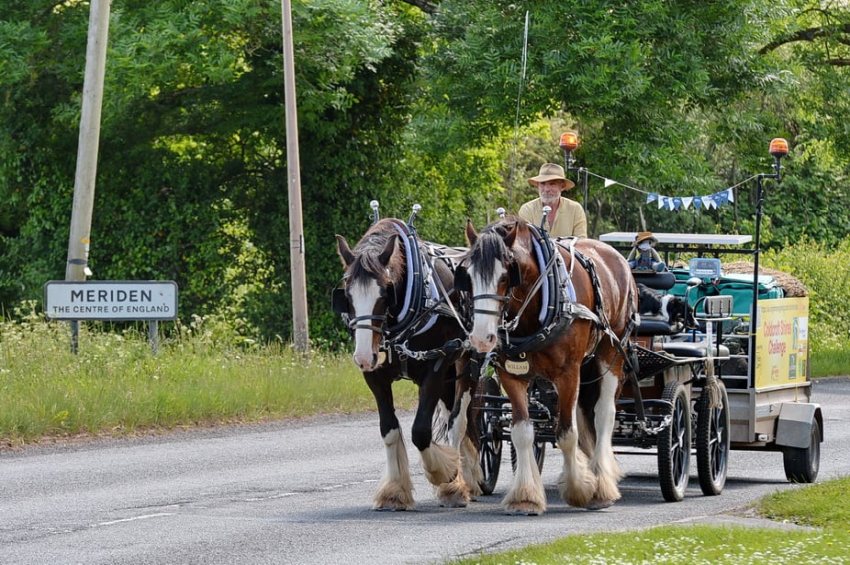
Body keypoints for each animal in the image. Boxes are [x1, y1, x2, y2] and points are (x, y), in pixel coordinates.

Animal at [332, 218, 480, 508]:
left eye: (385, 292)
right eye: (347, 295)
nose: (364, 356)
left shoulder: (436, 364)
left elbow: (421, 431)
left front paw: (445, 474)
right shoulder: (375, 376)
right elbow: (389, 429)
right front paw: (394, 492)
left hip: (467, 361)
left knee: (457, 421)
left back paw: (460, 482)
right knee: (451, 414)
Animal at [458, 217, 636, 516]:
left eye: (506, 276)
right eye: (467, 276)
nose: (482, 337)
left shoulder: (568, 373)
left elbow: (566, 433)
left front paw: (580, 489)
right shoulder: (511, 375)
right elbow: (522, 432)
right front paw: (525, 497)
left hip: (611, 352)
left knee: (603, 414)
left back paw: (601, 484)